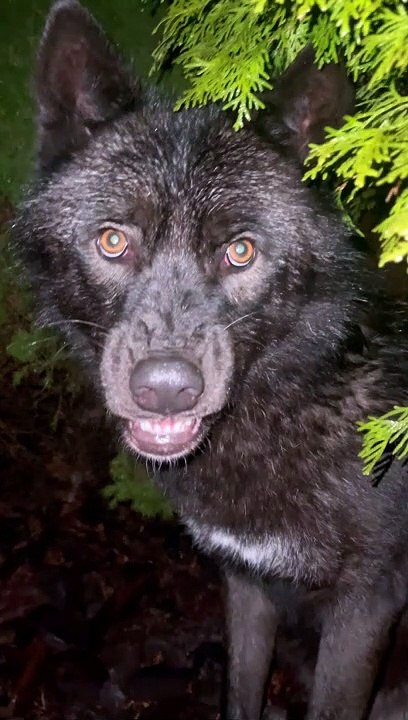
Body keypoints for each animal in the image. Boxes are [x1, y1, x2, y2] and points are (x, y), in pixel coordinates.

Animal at [12, 2, 408, 719]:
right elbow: (239, 691)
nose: (165, 390)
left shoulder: (367, 609)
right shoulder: (245, 584)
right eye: (113, 241)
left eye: (241, 251)